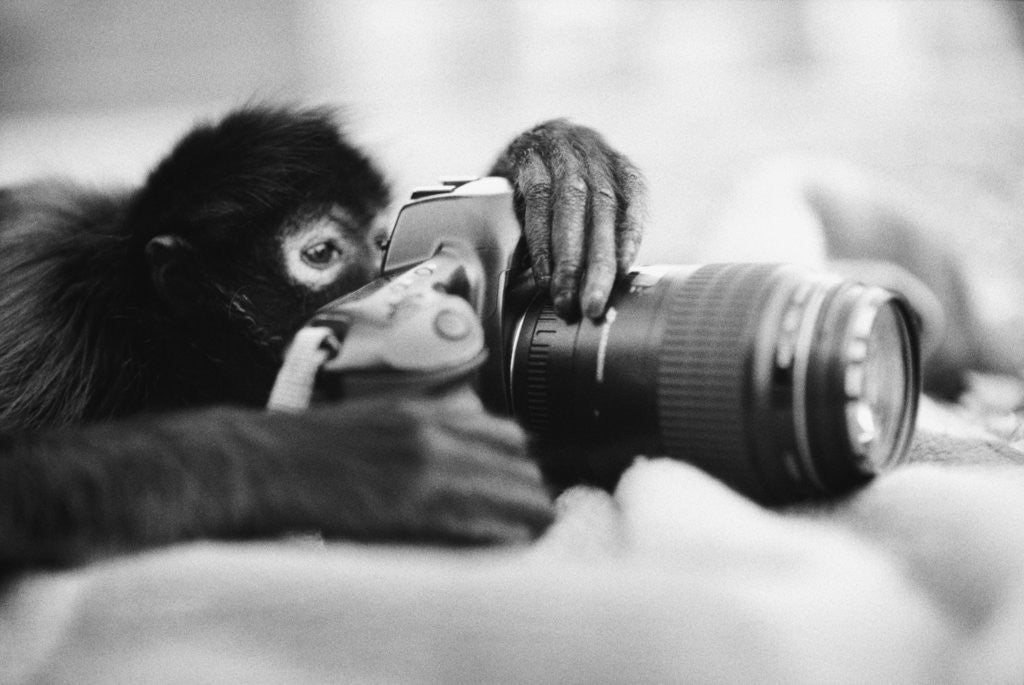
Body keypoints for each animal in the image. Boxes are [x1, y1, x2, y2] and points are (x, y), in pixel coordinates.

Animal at [0, 105, 645, 571]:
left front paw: (556, 164)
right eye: (321, 254)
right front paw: (366, 459)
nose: (376, 269)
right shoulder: (40, 323)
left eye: (381, 237)